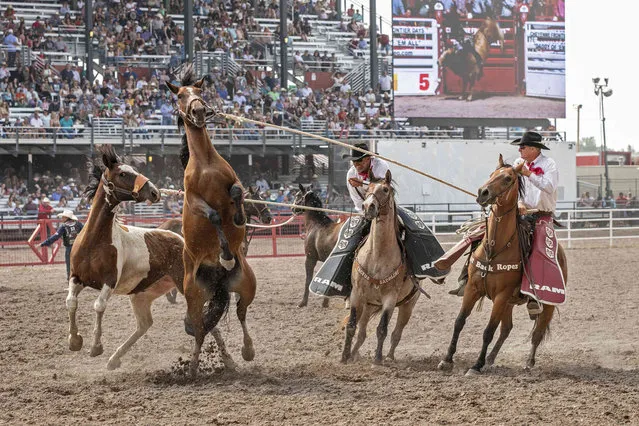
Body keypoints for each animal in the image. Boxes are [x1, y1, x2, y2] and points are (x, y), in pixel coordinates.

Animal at [65, 146, 185, 370]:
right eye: (122, 174)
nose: (155, 192)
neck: (94, 241)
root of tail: (179, 238)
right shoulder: (76, 277)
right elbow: (71, 302)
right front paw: (74, 340)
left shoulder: (109, 282)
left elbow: (99, 306)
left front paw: (96, 346)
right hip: (142, 295)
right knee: (144, 324)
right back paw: (114, 359)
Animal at [168, 63, 258, 376]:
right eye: (180, 96)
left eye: (199, 91)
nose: (197, 110)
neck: (205, 164)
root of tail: (218, 282)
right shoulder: (194, 200)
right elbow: (214, 215)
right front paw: (226, 254)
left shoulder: (234, 181)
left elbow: (237, 193)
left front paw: (240, 217)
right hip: (193, 296)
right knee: (199, 329)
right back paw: (194, 367)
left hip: (247, 285)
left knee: (241, 314)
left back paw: (247, 350)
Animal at [340, 171, 420, 364]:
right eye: (367, 188)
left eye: (385, 189)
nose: (368, 206)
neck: (377, 256)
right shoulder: (357, 295)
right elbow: (351, 326)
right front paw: (344, 357)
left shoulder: (389, 299)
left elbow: (382, 329)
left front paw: (377, 359)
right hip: (368, 305)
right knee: (361, 333)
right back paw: (354, 354)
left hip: (407, 306)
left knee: (396, 333)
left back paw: (389, 356)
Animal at [438, 155, 568, 374]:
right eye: (492, 174)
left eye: (508, 178)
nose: (483, 192)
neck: (496, 247)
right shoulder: (473, 289)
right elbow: (459, 322)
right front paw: (447, 359)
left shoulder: (501, 295)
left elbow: (488, 331)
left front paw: (476, 365)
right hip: (509, 303)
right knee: (507, 328)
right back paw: (491, 358)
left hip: (545, 304)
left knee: (537, 333)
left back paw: (528, 363)